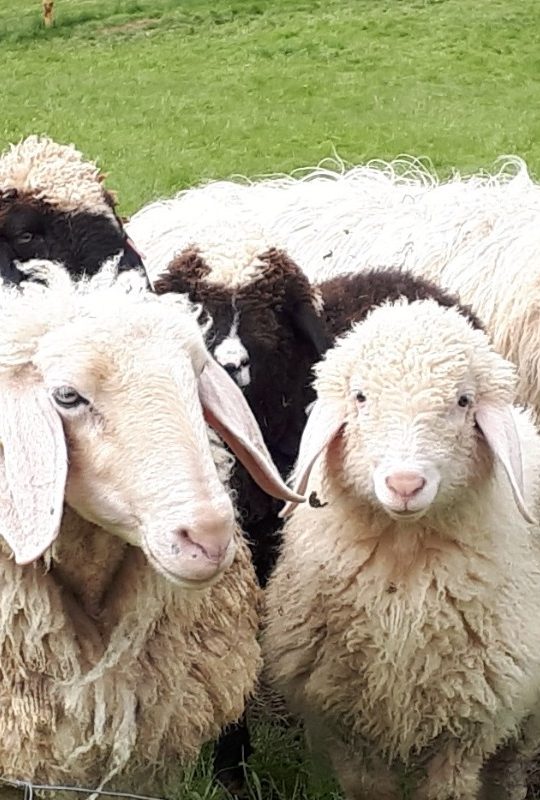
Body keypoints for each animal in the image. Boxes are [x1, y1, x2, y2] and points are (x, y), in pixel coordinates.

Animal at [263, 296, 540, 800]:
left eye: (463, 400)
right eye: (360, 397)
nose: (405, 484)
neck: (404, 568)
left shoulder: (467, 724)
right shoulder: (347, 720)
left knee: (510, 767)